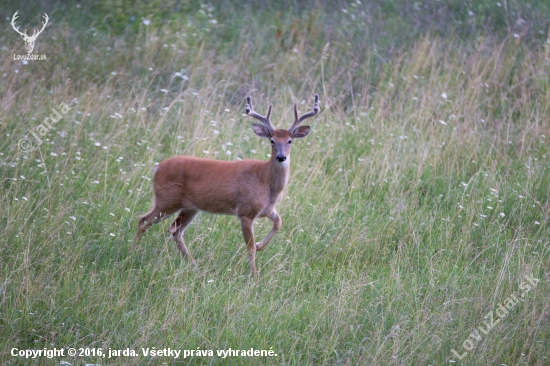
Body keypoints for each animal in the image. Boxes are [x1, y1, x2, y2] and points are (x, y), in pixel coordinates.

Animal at [135, 93, 322, 274]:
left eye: (290, 140)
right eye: (272, 140)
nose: (281, 157)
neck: (266, 182)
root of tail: (157, 168)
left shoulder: (266, 209)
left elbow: (279, 222)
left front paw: (261, 246)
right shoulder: (245, 211)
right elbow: (250, 248)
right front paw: (254, 276)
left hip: (189, 207)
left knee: (174, 230)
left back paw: (194, 266)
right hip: (166, 200)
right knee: (144, 220)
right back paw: (134, 251)